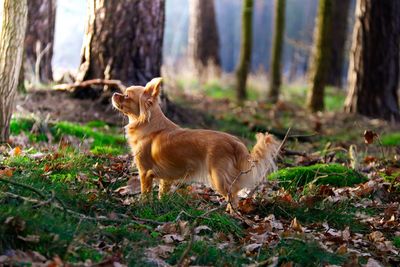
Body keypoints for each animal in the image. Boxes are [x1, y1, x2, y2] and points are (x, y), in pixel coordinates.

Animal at [111, 78, 280, 214]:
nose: (114, 93)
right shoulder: (166, 178)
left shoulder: (145, 172)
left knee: (233, 194)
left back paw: (232, 214)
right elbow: (162, 193)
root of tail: (235, 142)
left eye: (127, 96)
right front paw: (161, 204)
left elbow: (145, 193)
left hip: (217, 177)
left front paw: (143, 206)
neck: (148, 125)